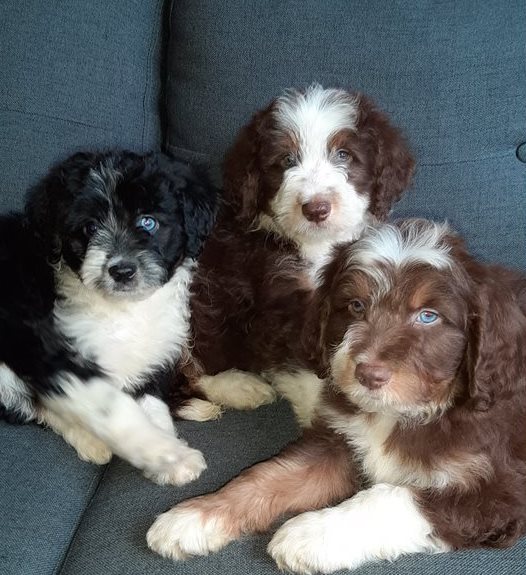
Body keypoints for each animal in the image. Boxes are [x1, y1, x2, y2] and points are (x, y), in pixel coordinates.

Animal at [0, 150, 218, 486]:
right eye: (89, 228)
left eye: (148, 222)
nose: (122, 271)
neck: (122, 309)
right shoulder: (53, 349)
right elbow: (113, 408)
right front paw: (173, 457)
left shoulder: (149, 354)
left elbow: (151, 401)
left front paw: (164, 453)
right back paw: (91, 442)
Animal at [147, 219, 526, 572]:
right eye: (356, 305)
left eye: (428, 316)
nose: (368, 375)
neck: (399, 413)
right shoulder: (337, 439)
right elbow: (267, 475)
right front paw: (192, 518)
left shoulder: (499, 493)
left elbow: (390, 499)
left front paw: (308, 536)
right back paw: (238, 388)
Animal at [175, 83, 414, 420]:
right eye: (287, 160)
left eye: (343, 155)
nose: (316, 209)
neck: (315, 245)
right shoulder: (279, 302)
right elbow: (302, 362)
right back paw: (239, 387)